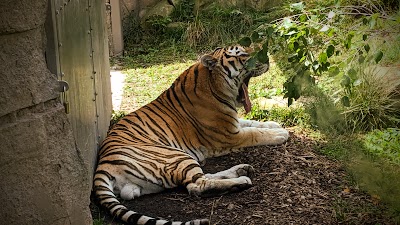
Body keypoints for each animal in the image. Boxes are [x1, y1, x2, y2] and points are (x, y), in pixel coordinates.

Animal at [93, 45, 288, 225]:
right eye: (242, 55)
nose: (268, 58)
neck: (214, 83)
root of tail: (102, 165)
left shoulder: (232, 124)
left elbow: (251, 123)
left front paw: (275, 125)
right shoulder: (229, 135)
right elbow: (254, 133)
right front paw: (280, 134)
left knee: (201, 178)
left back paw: (241, 169)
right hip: (175, 156)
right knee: (197, 186)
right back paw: (241, 180)